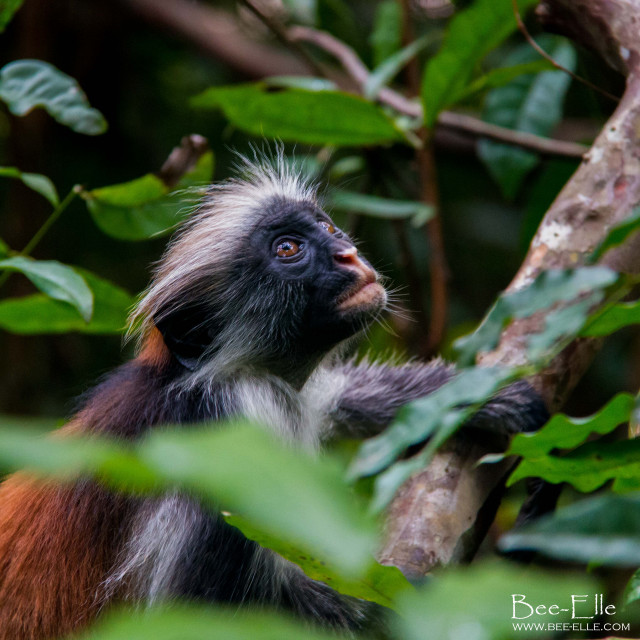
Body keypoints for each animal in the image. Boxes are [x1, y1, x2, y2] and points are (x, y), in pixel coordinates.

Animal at [0, 155, 549, 640]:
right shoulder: (232, 429)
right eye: (288, 249)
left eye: (326, 228)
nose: (348, 253)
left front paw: (483, 396)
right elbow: (196, 614)